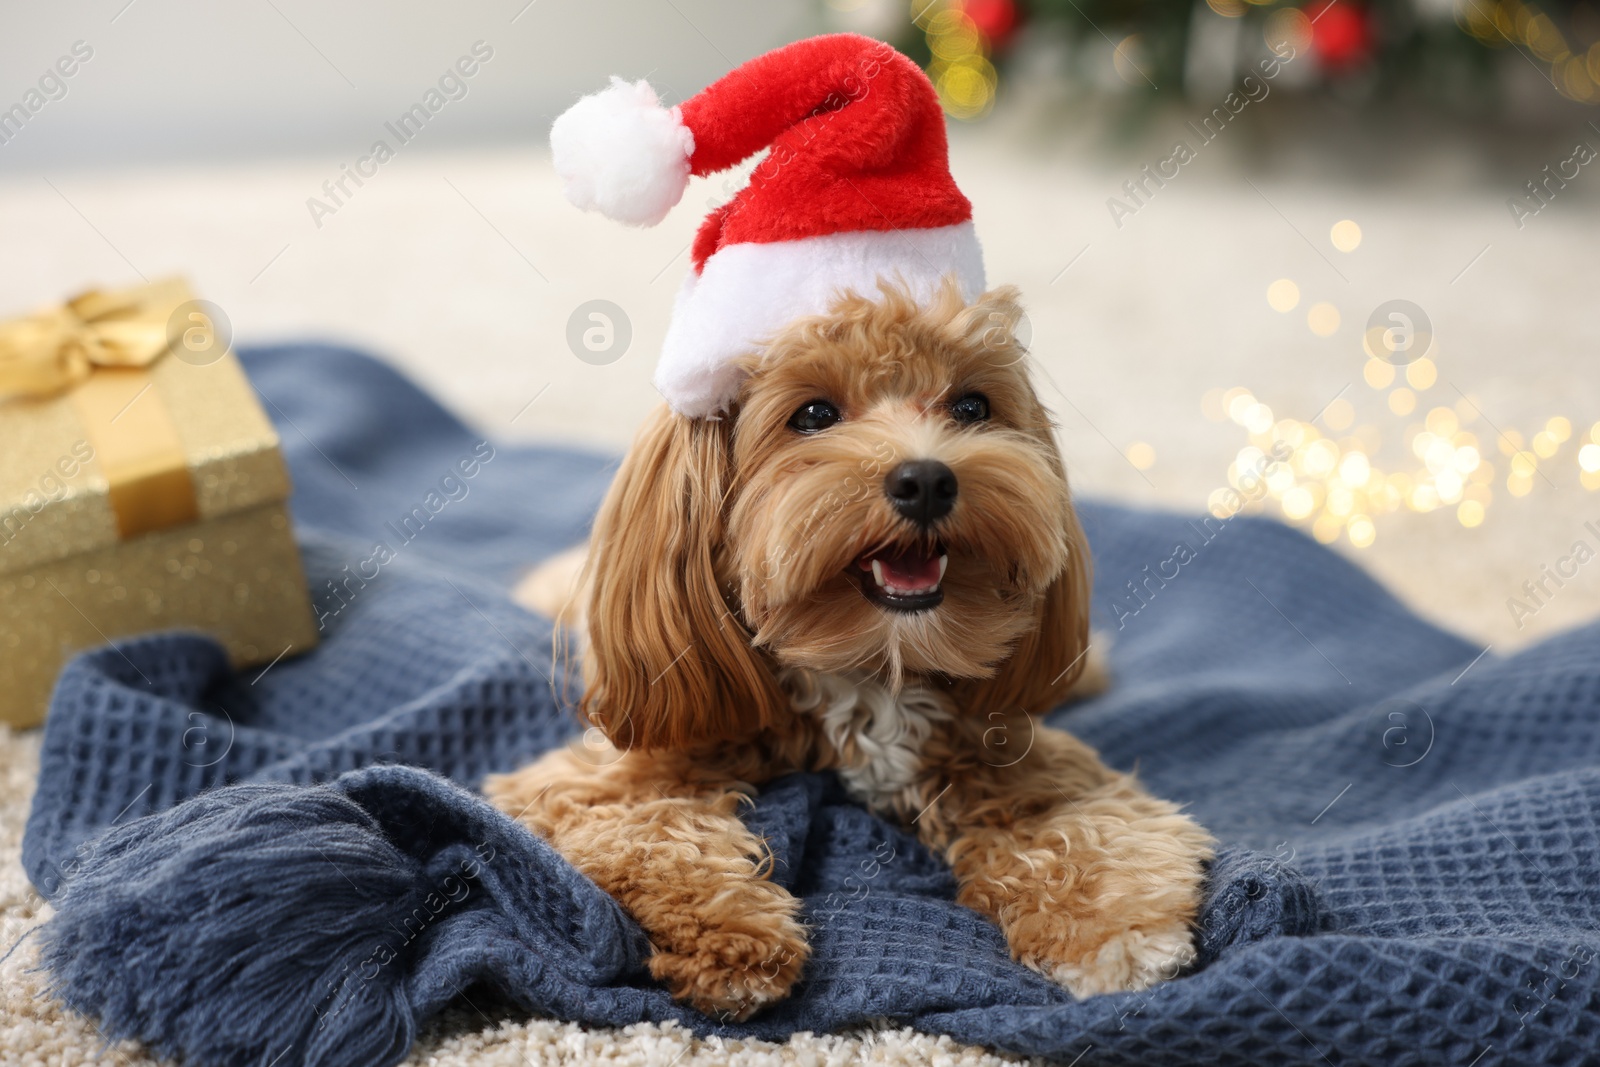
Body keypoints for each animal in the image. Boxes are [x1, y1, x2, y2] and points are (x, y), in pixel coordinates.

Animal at [486, 279, 1209, 1023]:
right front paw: (734, 932)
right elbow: (653, 834)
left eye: (972, 406)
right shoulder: (601, 777)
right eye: (813, 414)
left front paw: (1112, 928)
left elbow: (1080, 824)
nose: (927, 479)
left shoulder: (1008, 752)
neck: (868, 668)